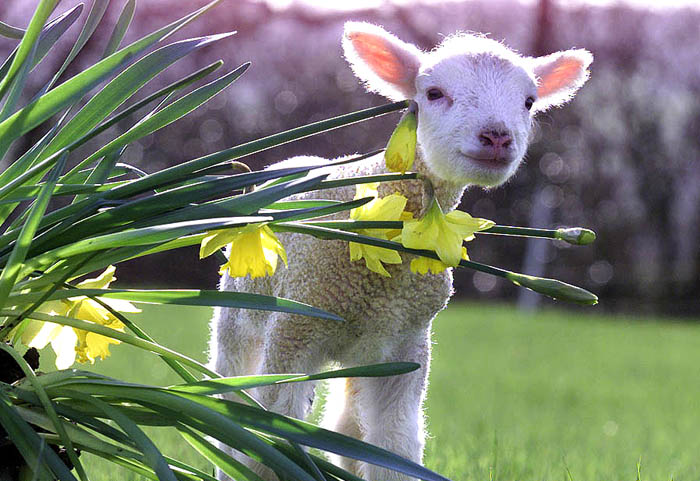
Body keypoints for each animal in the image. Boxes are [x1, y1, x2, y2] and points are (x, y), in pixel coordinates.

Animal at [209, 21, 592, 481]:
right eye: (434, 93)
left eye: (529, 102)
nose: (498, 137)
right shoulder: (292, 332)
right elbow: (266, 434)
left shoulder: (405, 346)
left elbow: (394, 445)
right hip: (239, 315)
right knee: (230, 393)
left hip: (364, 356)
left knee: (348, 423)